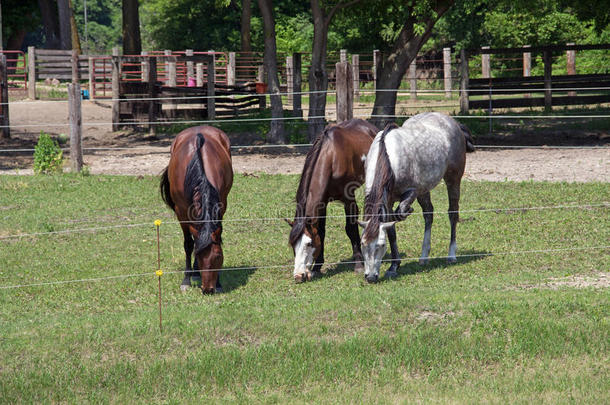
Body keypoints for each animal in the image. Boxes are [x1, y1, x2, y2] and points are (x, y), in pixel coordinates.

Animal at [158, 124, 232, 292]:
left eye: (218, 257)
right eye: (198, 255)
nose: (208, 289)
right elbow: (189, 244)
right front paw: (186, 280)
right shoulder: (181, 211)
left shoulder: (221, 206)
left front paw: (218, 283)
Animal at [284, 117, 376, 280]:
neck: (332, 158)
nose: (299, 275)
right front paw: (317, 267)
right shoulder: (322, 203)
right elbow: (321, 232)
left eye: (308, 244)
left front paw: (359, 264)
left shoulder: (349, 199)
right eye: (293, 245)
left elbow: (351, 229)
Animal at [356, 110, 476, 280]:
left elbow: (399, 213)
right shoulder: (388, 200)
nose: (371, 277)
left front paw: (407, 211)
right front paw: (394, 266)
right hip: (426, 190)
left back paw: (451, 255)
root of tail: (454, 123)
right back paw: (424, 256)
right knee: (429, 214)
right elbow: (391, 230)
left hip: (453, 180)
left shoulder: (413, 191)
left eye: (381, 245)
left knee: (453, 214)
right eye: (362, 244)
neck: (388, 157)